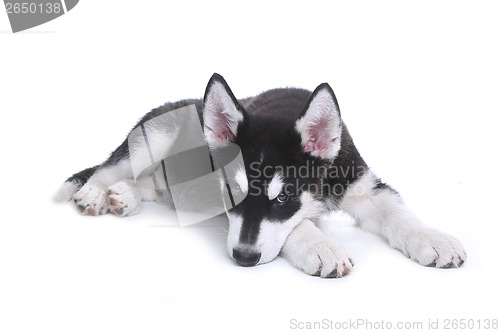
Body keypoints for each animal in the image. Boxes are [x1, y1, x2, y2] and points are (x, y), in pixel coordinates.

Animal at [56, 73, 466, 278]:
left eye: (283, 197)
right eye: (231, 195)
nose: (243, 258)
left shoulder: (362, 184)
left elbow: (398, 213)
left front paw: (433, 239)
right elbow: (298, 225)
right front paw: (320, 246)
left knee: (148, 184)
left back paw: (124, 196)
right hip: (151, 138)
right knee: (108, 167)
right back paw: (96, 193)